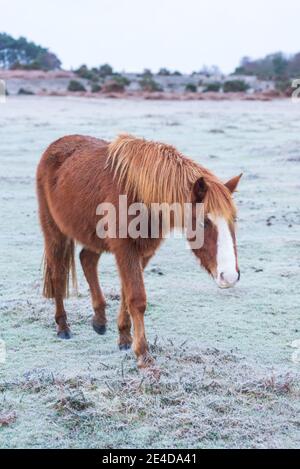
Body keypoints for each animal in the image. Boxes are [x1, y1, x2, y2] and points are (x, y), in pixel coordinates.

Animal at [36, 133, 241, 368]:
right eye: (204, 222)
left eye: (233, 219)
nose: (229, 276)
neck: (139, 194)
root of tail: (56, 144)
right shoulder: (125, 250)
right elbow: (137, 298)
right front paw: (143, 354)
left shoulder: (144, 252)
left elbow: (127, 294)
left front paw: (125, 337)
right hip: (54, 233)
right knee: (58, 275)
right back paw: (63, 326)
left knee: (86, 259)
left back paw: (100, 320)